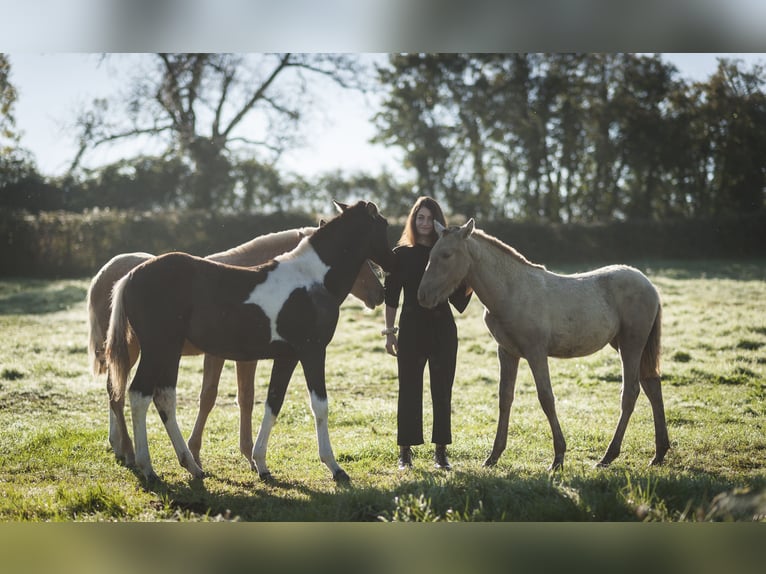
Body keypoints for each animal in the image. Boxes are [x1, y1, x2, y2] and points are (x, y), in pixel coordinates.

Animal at [106, 200, 396, 484]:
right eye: (383, 225)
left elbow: (273, 403)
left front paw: (261, 464)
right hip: (157, 349)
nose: (382, 289)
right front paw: (334, 467)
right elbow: (320, 406)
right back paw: (148, 468)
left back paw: (192, 466)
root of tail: (129, 276)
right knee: (138, 394)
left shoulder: (287, 357)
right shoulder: (313, 352)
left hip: (168, 352)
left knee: (162, 397)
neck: (311, 278)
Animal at [416, 220, 668, 472]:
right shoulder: (507, 352)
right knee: (652, 386)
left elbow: (546, 398)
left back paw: (608, 456)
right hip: (626, 345)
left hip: (632, 343)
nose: (423, 296)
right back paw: (659, 454)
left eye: (446, 255)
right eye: (430, 254)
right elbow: (505, 398)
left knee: (631, 392)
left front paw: (558, 458)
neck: (511, 291)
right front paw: (493, 456)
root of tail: (649, 284)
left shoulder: (535, 352)